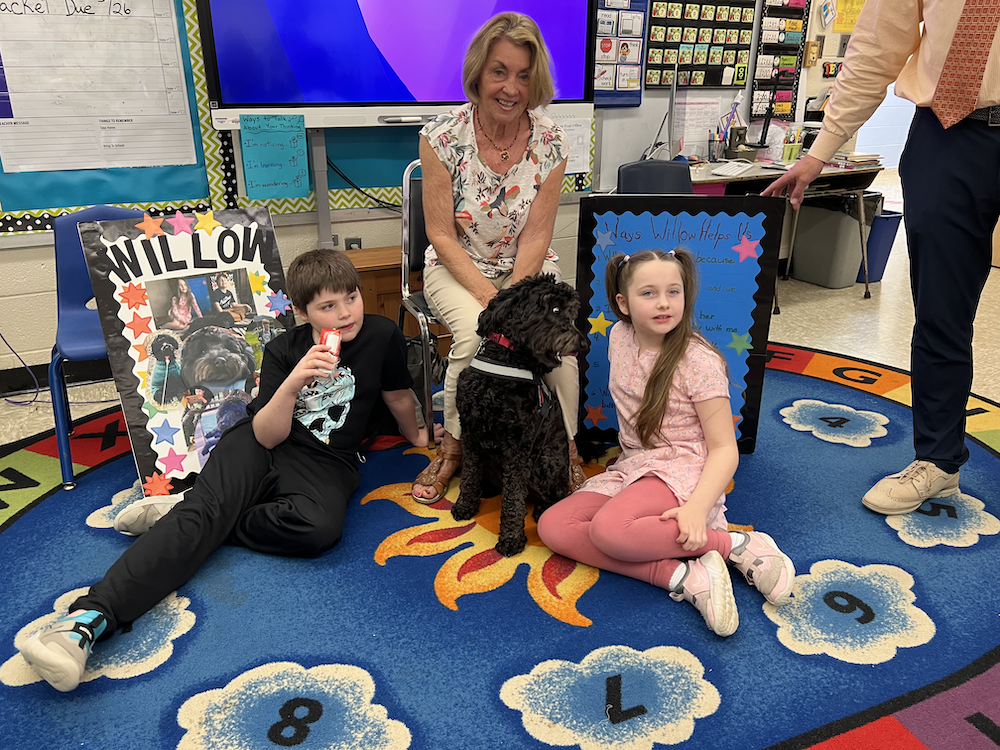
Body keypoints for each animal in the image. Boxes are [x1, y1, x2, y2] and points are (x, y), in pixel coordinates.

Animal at [451, 274, 590, 557]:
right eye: (556, 309)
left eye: (573, 313)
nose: (583, 344)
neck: (506, 358)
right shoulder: (470, 434)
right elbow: (469, 475)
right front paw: (465, 504)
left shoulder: (518, 448)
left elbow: (513, 497)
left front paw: (511, 538)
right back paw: (487, 489)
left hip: (545, 460)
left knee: (557, 494)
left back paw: (542, 509)